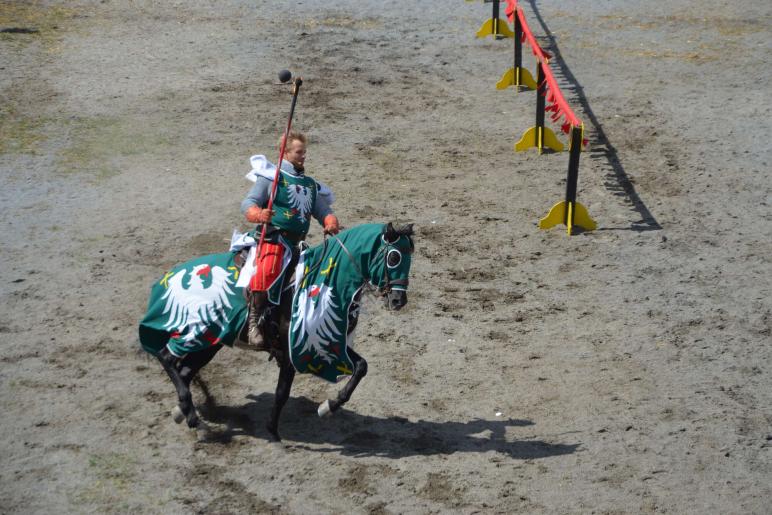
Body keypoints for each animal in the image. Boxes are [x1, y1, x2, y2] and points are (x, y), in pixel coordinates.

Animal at [139, 224, 416, 442]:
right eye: (394, 258)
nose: (398, 300)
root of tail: (169, 279)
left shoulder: (328, 342)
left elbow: (361, 367)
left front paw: (329, 406)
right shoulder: (292, 350)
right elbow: (282, 392)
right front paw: (273, 430)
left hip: (212, 341)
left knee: (184, 369)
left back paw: (185, 413)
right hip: (198, 333)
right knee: (167, 357)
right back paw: (194, 419)